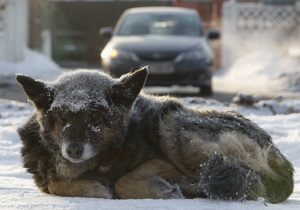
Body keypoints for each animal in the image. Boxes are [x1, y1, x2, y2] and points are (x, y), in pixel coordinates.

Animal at [15, 67, 292, 202]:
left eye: (94, 115)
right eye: (62, 116)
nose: (73, 150)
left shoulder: (161, 163)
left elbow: (122, 181)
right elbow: (54, 184)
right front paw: (92, 188)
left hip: (171, 127)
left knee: (250, 183)